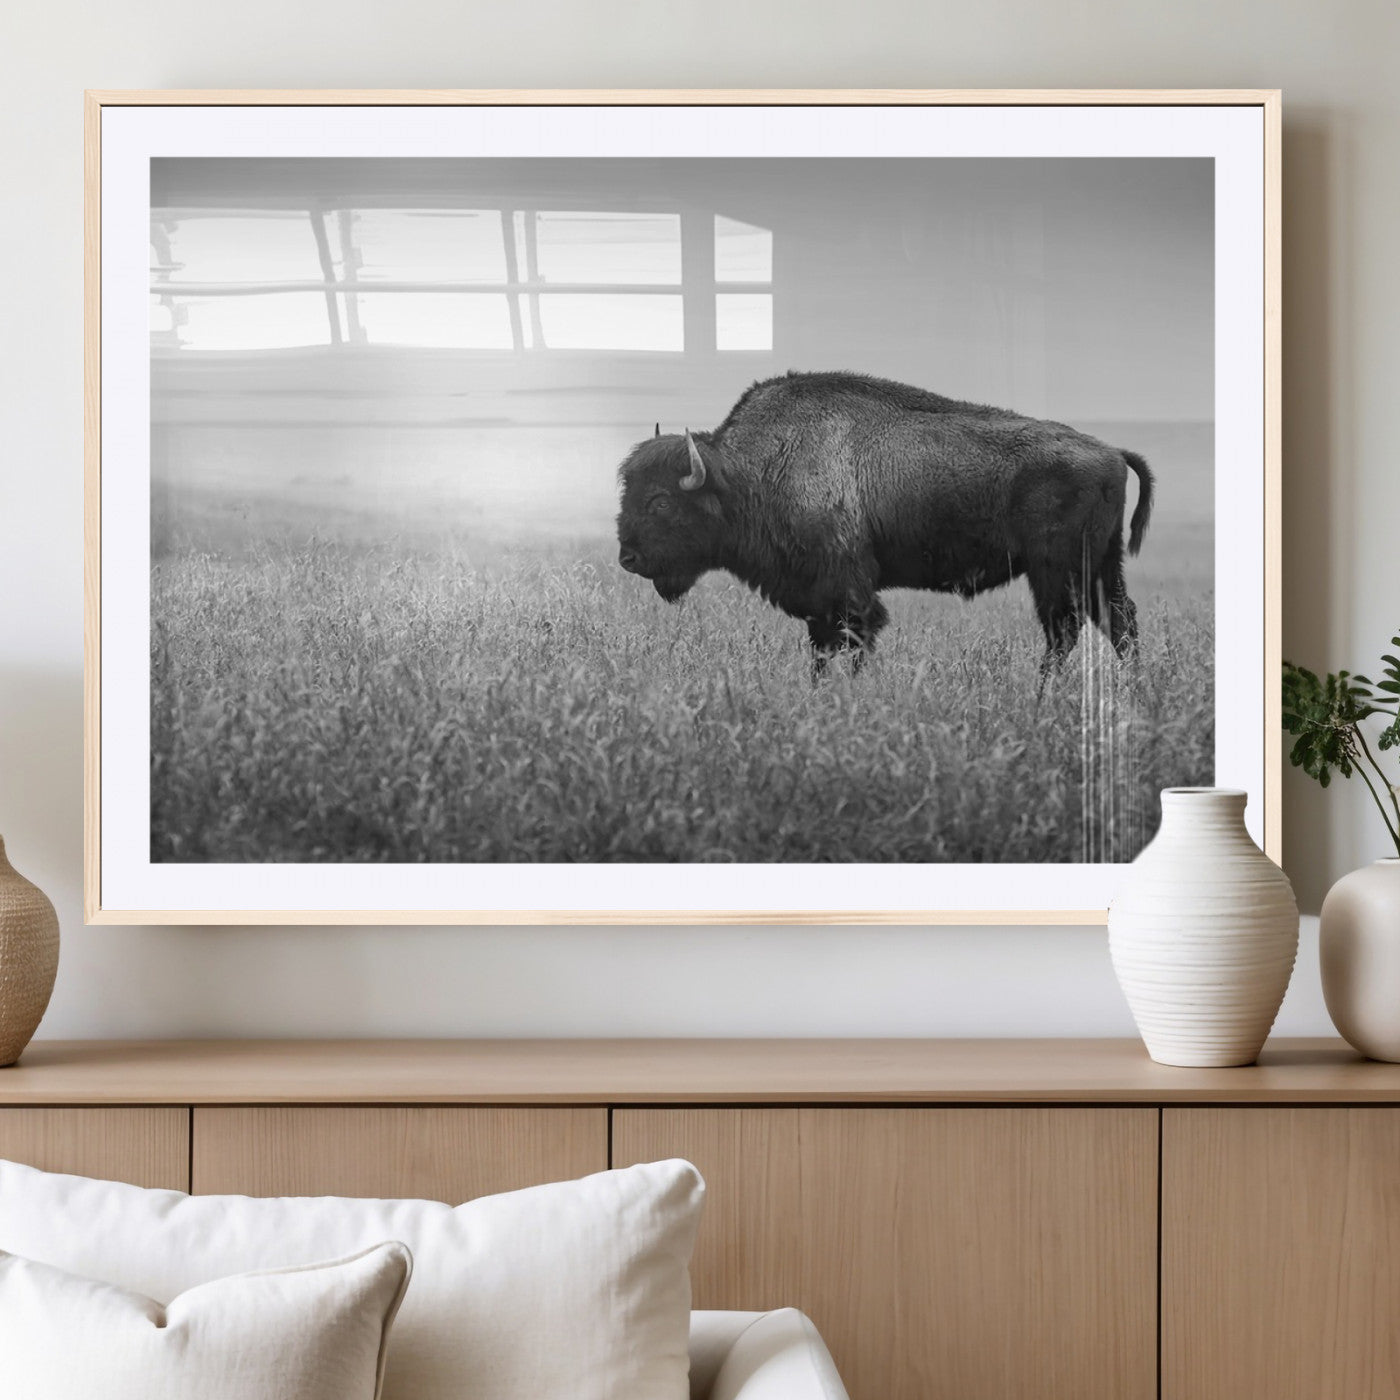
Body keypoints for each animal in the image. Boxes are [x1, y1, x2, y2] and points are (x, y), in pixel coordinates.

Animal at [615, 371, 1154, 674]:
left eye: (661, 501)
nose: (628, 558)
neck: (749, 473)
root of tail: (1111, 451)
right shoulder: (819, 603)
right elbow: (821, 652)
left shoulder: (848, 593)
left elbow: (852, 642)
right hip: (1102, 565)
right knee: (1119, 622)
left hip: (1056, 571)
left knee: (1065, 630)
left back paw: (1044, 696)